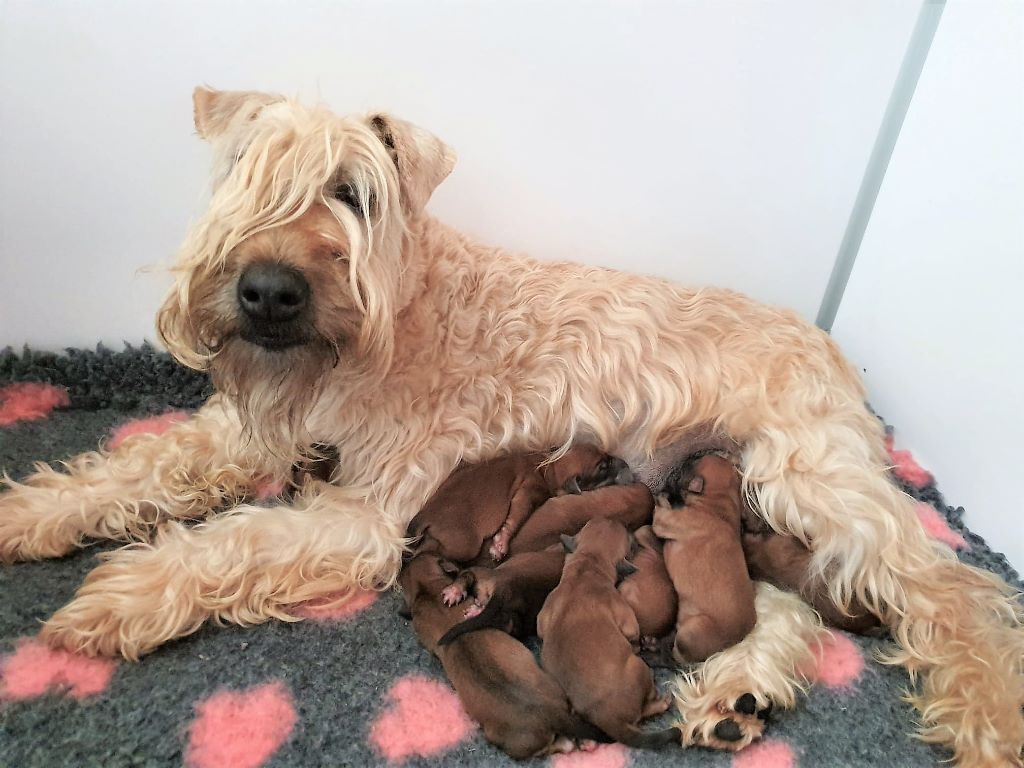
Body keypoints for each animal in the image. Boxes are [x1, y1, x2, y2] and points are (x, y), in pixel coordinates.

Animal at [407, 442, 630, 561]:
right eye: (603, 467)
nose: (626, 463)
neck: (549, 467)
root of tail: (424, 515)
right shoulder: (528, 492)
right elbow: (515, 518)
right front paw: (500, 544)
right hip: (464, 545)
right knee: (427, 550)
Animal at [536, 520, 679, 749]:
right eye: (630, 544)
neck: (587, 567)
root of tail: (609, 719)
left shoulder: (544, 616)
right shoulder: (626, 619)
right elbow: (632, 633)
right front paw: (637, 644)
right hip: (640, 668)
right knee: (643, 710)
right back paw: (662, 701)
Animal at [651, 454, 757, 663]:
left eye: (688, 466)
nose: (686, 457)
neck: (715, 503)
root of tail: (730, 644)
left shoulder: (665, 521)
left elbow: (661, 511)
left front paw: (662, 497)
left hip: (692, 632)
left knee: (677, 656)